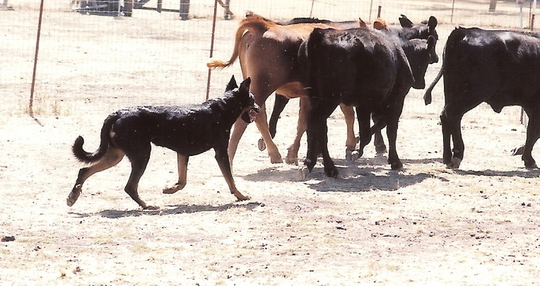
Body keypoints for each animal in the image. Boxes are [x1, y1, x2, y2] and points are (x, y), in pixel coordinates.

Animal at [67, 77, 258, 209]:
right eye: (252, 99)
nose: (259, 108)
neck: (222, 108)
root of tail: (117, 113)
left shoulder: (183, 152)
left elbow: (182, 181)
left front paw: (170, 189)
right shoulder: (220, 152)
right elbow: (230, 179)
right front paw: (241, 196)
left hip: (115, 155)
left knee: (84, 171)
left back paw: (73, 196)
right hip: (142, 155)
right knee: (130, 187)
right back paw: (146, 205)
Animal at [302, 29, 436, 177]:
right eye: (427, 59)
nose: (421, 84)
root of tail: (320, 34)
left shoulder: (366, 105)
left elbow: (375, 126)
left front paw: (357, 144)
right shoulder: (396, 100)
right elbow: (389, 130)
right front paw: (394, 161)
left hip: (314, 96)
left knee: (315, 125)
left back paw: (312, 162)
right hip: (331, 99)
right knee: (317, 121)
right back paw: (328, 167)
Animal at [424, 27, 540, 169]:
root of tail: (463, 31)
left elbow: (532, 131)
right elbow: (533, 132)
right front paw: (528, 158)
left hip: (453, 93)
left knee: (448, 119)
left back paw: (447, 157)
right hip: (471, 95)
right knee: (450, 115)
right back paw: (456, 156)